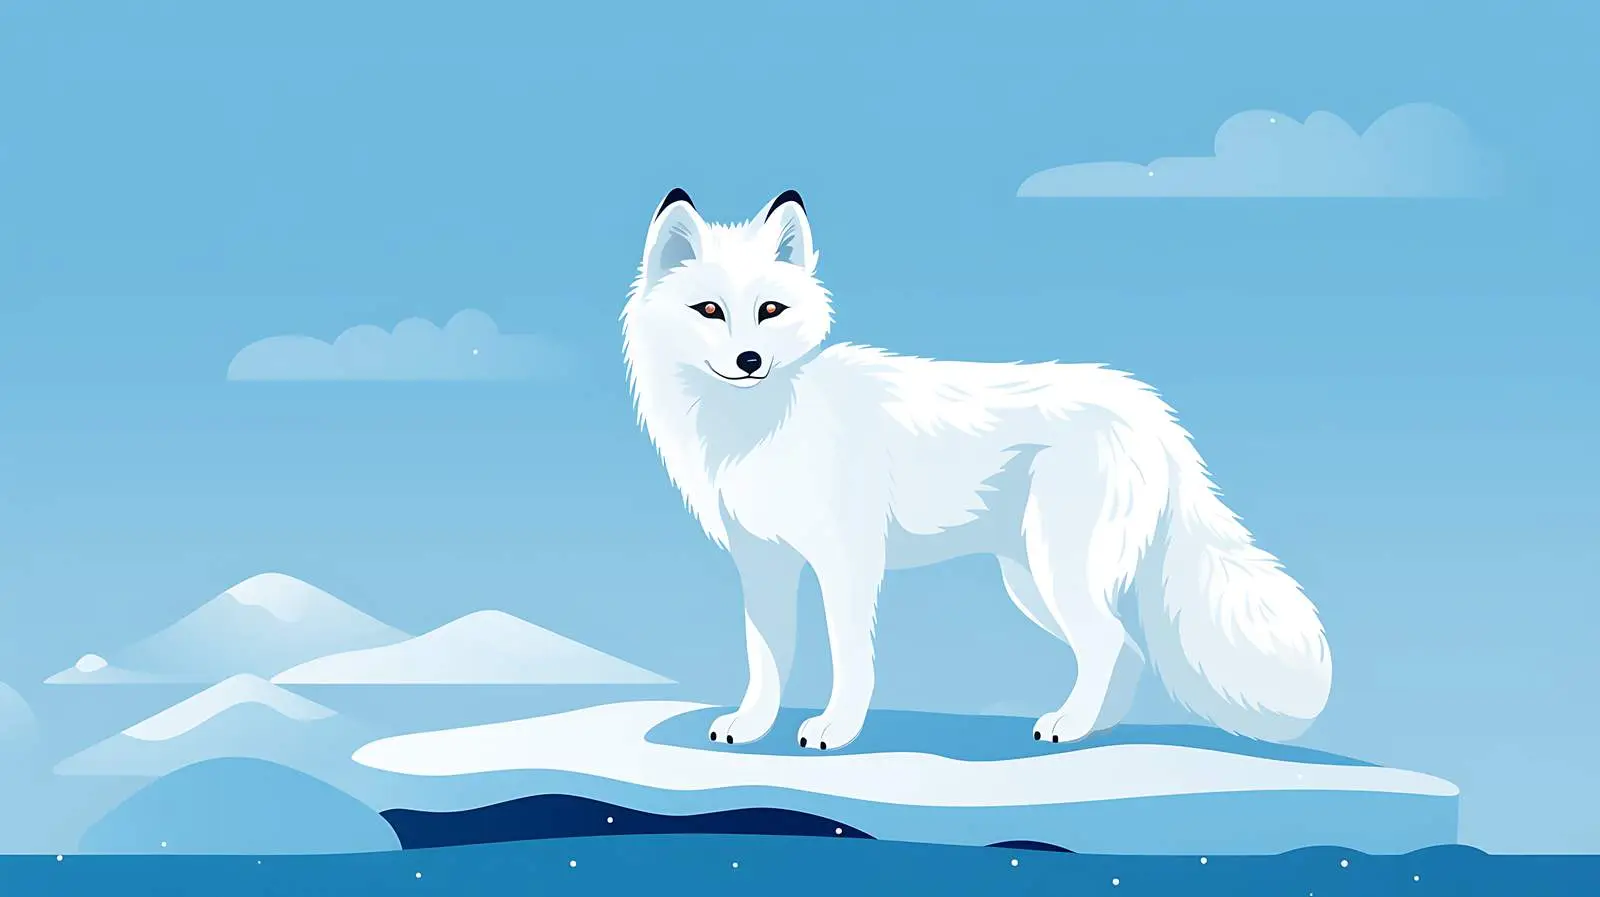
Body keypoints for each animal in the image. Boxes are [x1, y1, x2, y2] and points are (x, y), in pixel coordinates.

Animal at [622, 188, 1332, 752]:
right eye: (709, 310)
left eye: (770, 310)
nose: (750, 360)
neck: (759, 429)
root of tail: (1155, 415)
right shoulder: (762, 564)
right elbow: (767, 659)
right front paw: (750, 725)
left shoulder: (847, 563)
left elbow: (849, 657)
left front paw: (835, 729)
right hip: (1031, 582)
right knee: (1122, 650)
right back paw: (1092, 727)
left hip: (1056, 571)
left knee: (1107, 644)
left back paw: (1070, 727)